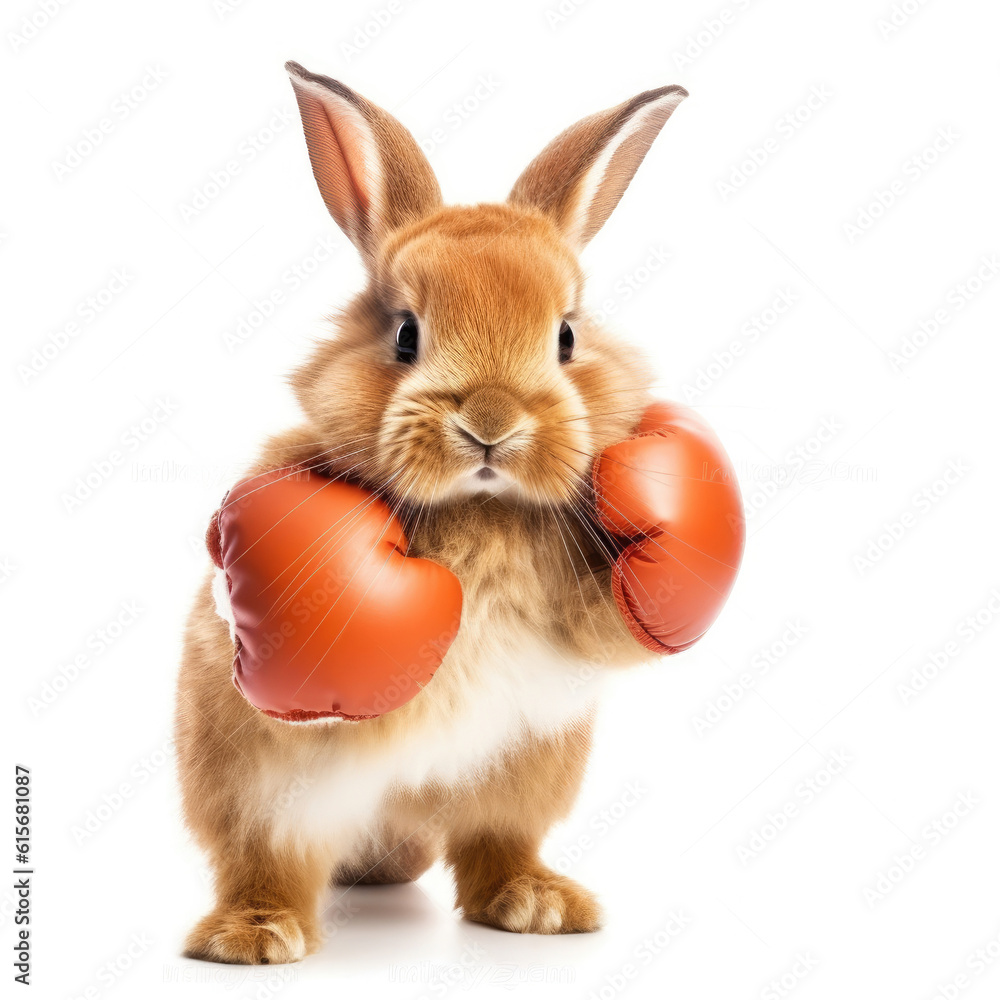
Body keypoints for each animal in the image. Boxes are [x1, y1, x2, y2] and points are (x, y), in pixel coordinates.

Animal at [176, 58, 688, 964]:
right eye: (406, 335)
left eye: (566, 336)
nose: (491, 419)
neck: (481, 512)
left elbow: (612, 623)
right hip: (259, 790)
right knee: (267, 861)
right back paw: (256, 936)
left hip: (527, 769)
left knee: (493, 849)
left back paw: (539, 904)